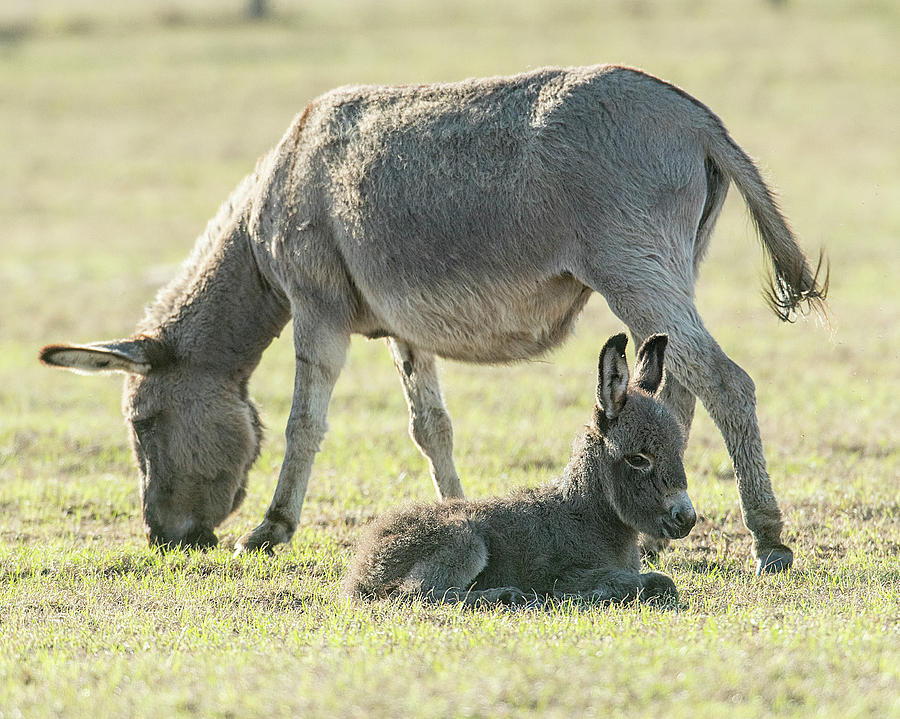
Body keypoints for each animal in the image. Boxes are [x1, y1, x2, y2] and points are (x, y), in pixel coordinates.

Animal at [344, 334, 696, 604]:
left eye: (678, 450)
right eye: (638, 459)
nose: (687, 518)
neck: (588, 513)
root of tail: (362, 567)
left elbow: (659, 582)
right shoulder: (566, 573)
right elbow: (654, 581)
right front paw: (585, 594)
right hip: (463, 540)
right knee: (415, 594)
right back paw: (507, 595)